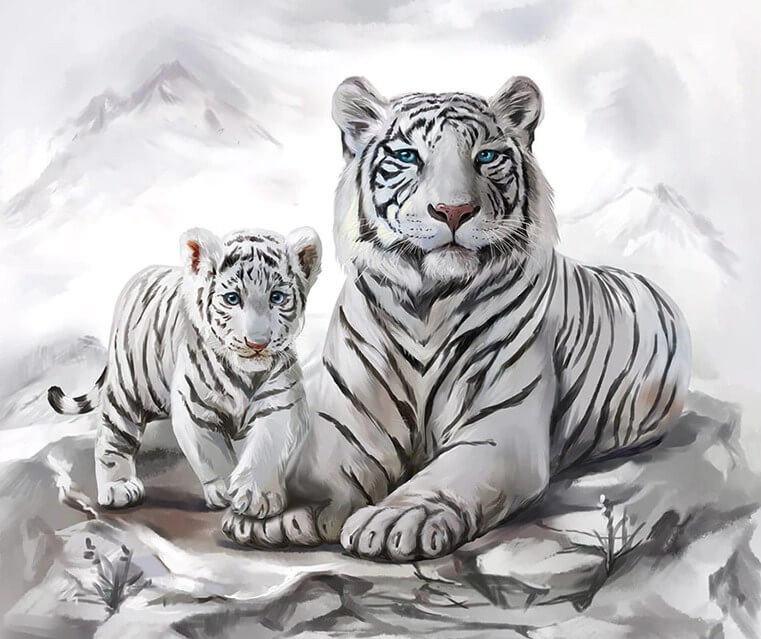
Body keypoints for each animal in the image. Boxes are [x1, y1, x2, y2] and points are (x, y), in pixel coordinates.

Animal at [48, 226, 321, 516]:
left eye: (277, 297)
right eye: (232, 298)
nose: (257, 343)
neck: (246, 374)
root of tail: (139, 278)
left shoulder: (281, 404)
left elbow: (267, 448)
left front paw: (258, 497)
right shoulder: (195, 408)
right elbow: (213, 454)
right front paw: (225, 490)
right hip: (127, 389)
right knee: (112, 435)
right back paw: (118, 487)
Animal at [221, 75, 692, 562]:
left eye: (485, 156)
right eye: (408, 156)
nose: (453, 211)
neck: (427, 305)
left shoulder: (498, 428)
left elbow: (445, 477)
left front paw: (396, 519)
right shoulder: (348, 419)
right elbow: (323, 464)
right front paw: (282, 508)